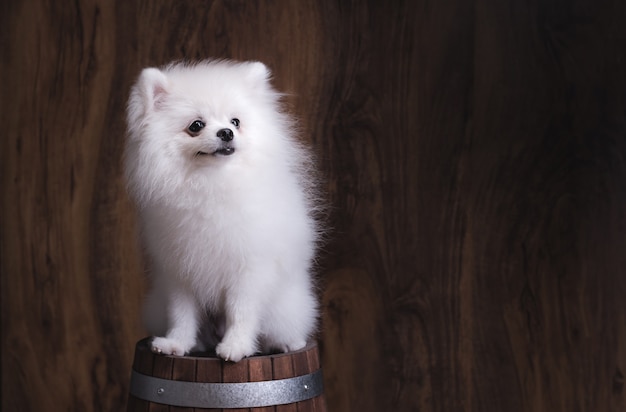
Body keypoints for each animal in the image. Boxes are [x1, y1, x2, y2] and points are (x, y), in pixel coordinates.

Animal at [125, 58, 322, 360]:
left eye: (235, 122)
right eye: (196, 125)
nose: (226, 132)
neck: (211, 181)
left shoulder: (248, 269)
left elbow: (241, 313)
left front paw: (235, 347)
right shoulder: (179, 271)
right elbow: (181, 315)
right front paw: (176, 344)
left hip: (283, 309)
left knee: (280, 330)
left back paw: (289, 343)